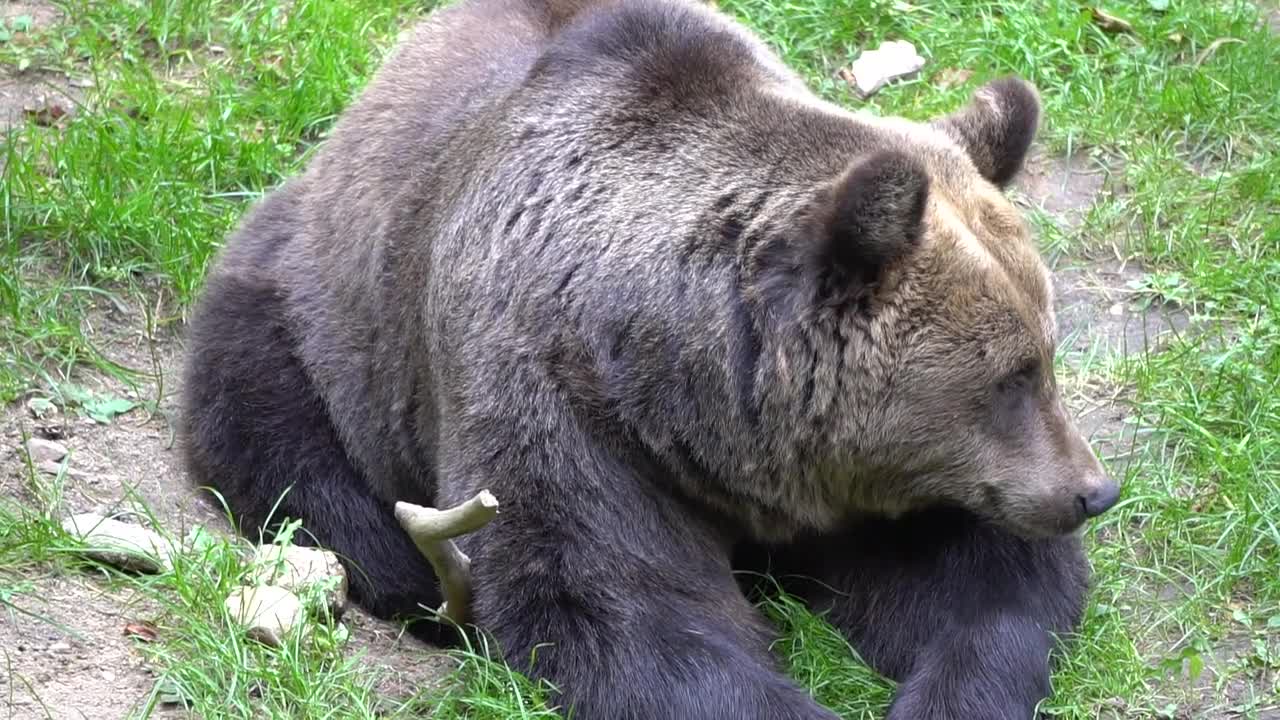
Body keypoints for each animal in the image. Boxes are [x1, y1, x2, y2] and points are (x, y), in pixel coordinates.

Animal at [180, 0, 1121, 712]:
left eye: (1044, 355)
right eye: (1009, 378)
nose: (1092, 490)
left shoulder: (892, 481)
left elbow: (982, 581)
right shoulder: (561, 404)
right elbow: (627, 612)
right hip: (327, 306)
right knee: (285, 441)